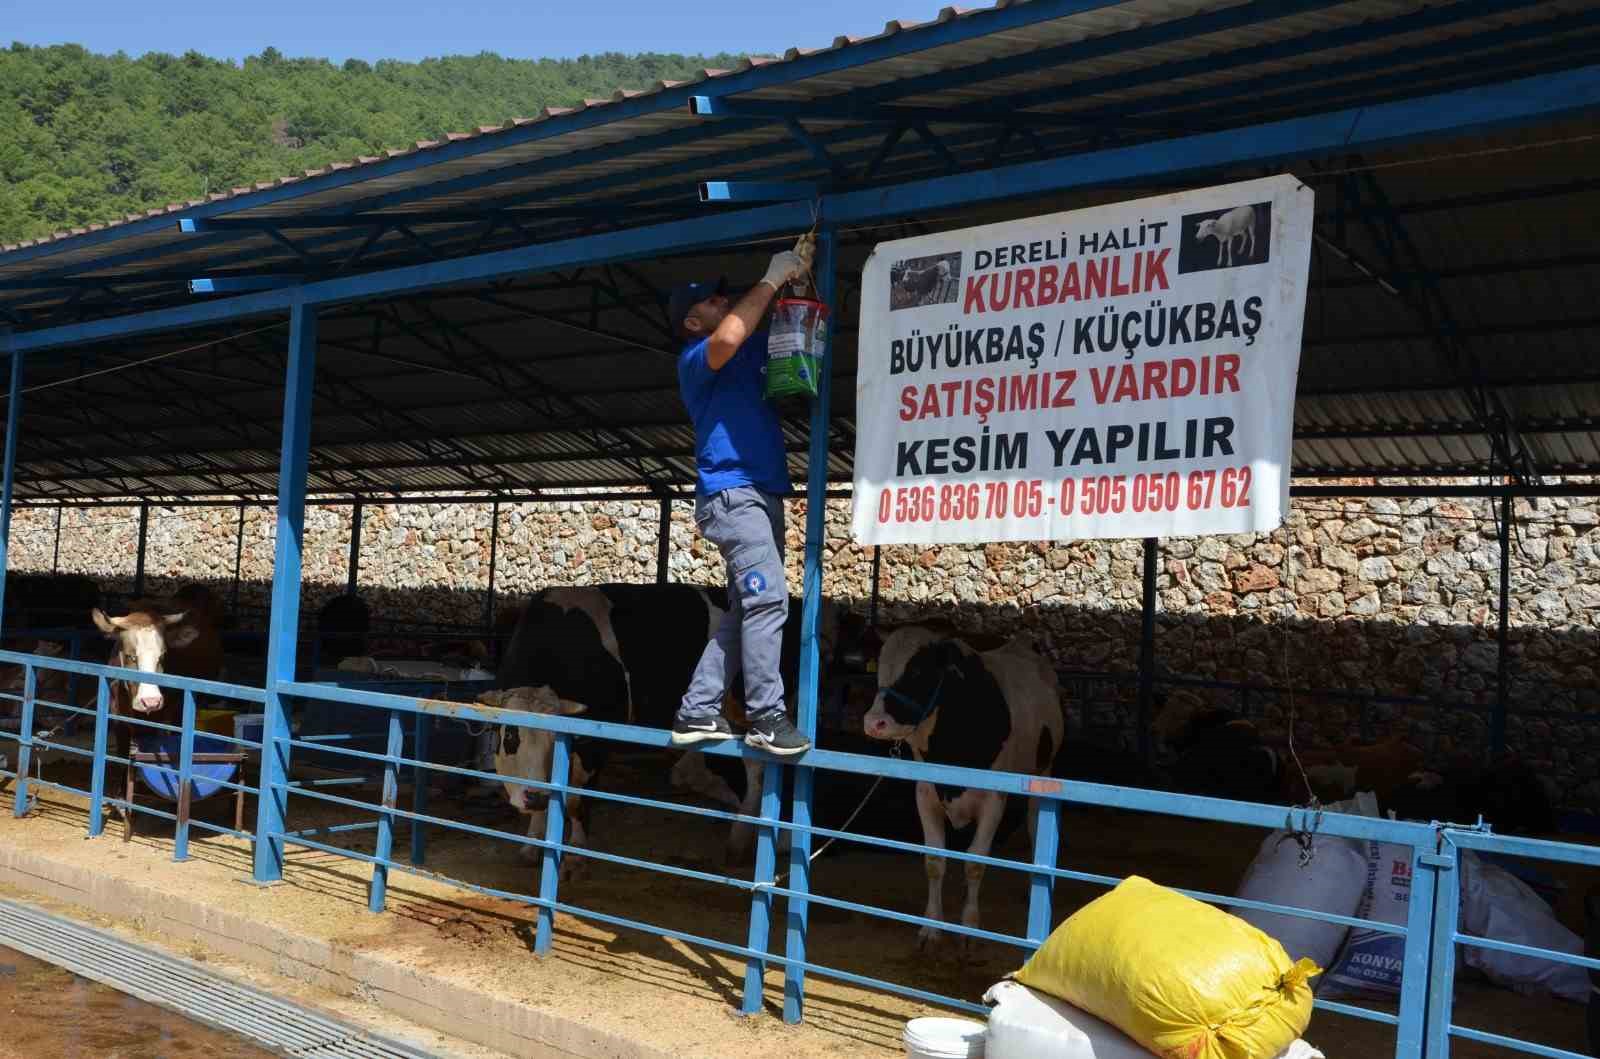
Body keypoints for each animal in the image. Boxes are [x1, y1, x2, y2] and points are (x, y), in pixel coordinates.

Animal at [864, 630, 1062, 953]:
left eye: (918, 670)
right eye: (879, 667)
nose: (874, 723)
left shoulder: (994, 800)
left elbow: (975, 862)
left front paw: (969, 928)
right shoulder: (925, 794)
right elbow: (934, 861)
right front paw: (931, 929)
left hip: (1044, 770)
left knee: (1034, 824)